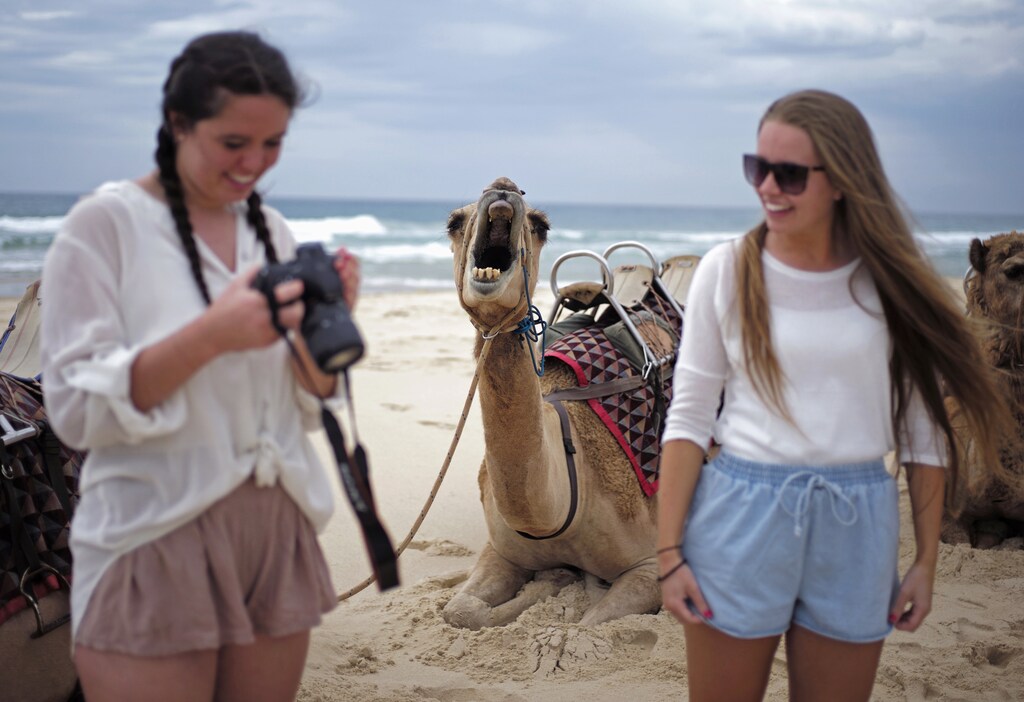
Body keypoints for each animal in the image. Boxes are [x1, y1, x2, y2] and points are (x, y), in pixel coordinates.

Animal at [441, 177, 667, 630]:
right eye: (454, 222)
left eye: (541, 225)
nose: (502, 189)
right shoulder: (501, 549)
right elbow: (460, 610)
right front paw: (554, 578)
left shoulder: (649, 567)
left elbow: (586, 622)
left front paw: (559, 582)